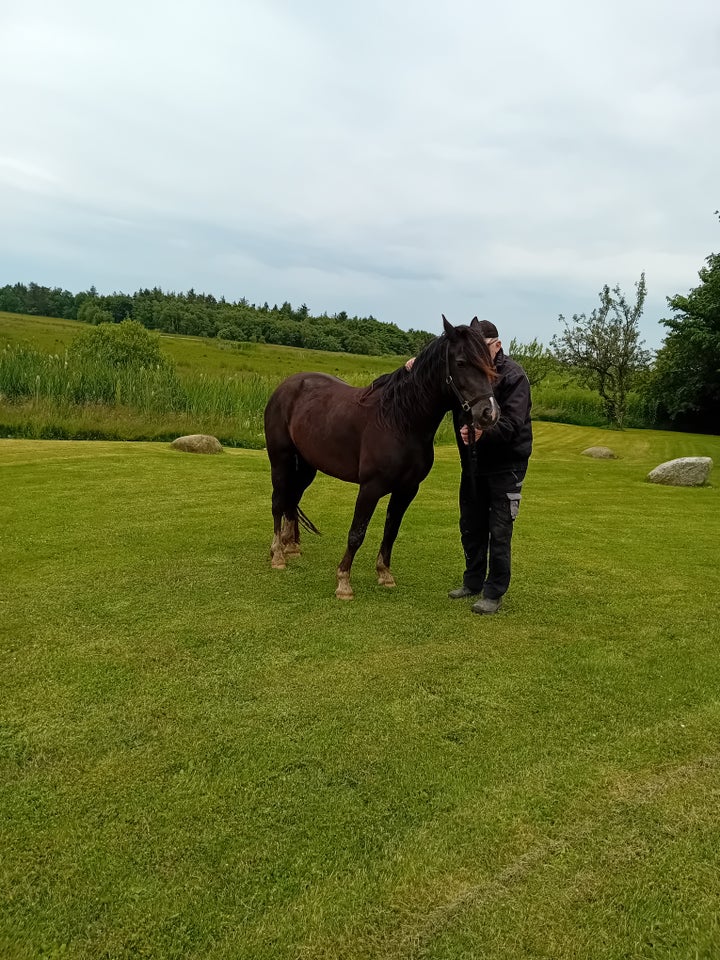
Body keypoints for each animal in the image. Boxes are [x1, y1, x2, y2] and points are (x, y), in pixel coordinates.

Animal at [262, 318, 500, 596]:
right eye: (461, 362)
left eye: (490, 364)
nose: (489, 413)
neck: (400, 421)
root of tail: (285, 387)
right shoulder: (370, 487)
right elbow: (357, 532)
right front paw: (344, 581)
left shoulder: (407, 490)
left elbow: (391, 530)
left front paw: (384, 573)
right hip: (281, 460)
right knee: (278, 502)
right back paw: (278, 554)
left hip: (307, 466)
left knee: (292, 499)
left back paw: (290, 547)